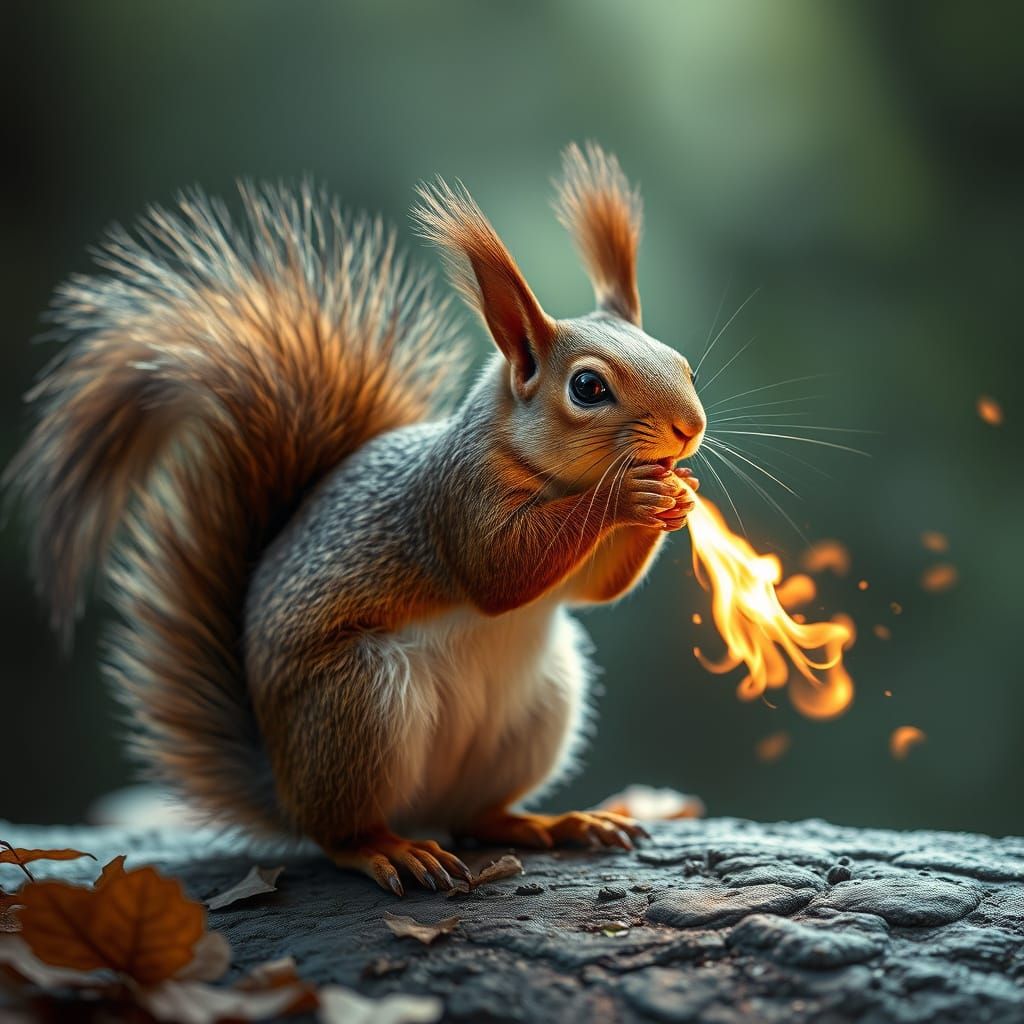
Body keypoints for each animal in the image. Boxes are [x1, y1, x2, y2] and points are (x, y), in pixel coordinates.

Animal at [7, 143, 706, 894]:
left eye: (684, 365)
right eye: (587, 387)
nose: (690, 429)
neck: (547, 472)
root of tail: (284, 787)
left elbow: (593, 589)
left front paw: (676, 497)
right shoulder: (454, 501)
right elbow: (502, 571)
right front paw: (630, 494)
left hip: (541, 704)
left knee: (478, 816)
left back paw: (552, 823)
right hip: (360, 702)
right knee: (339, 832)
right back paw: (388, 851)